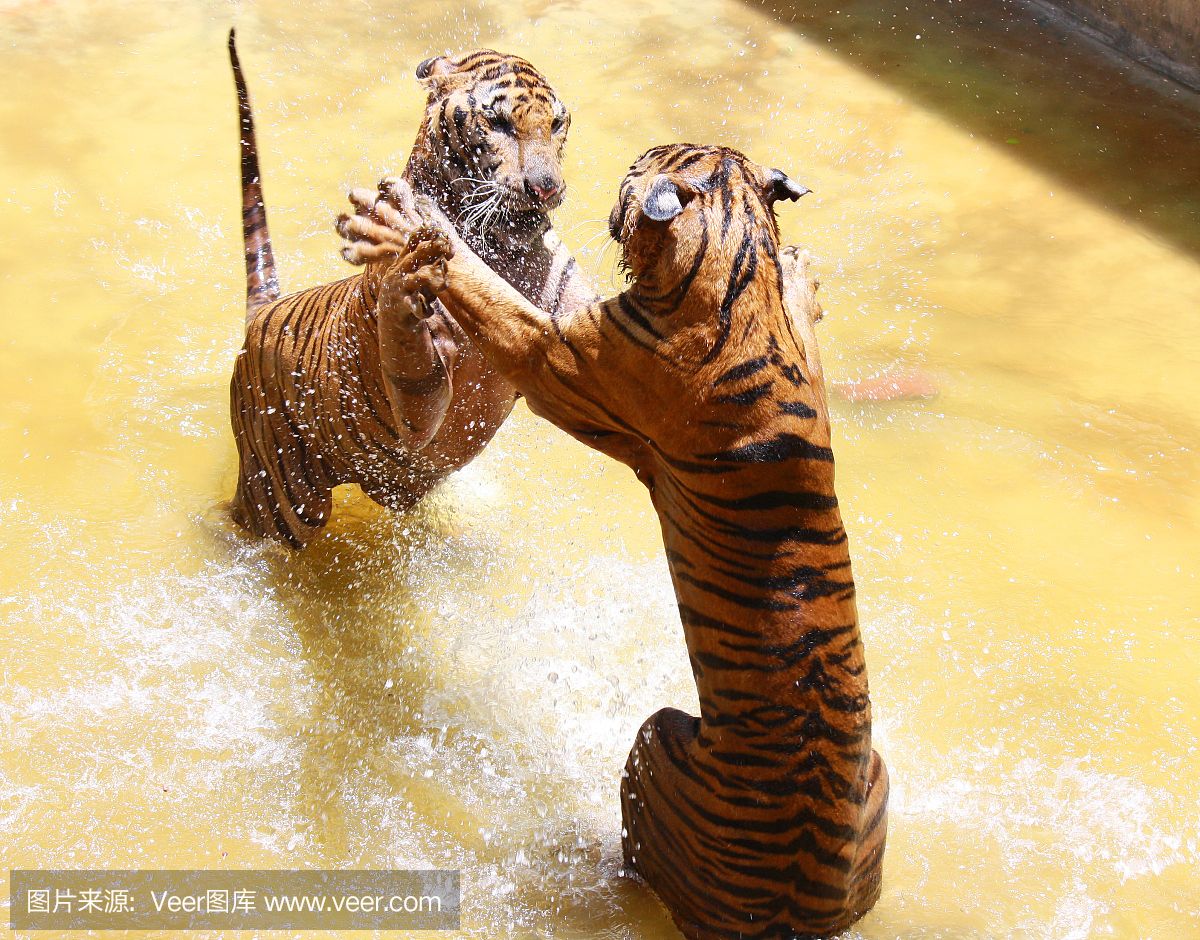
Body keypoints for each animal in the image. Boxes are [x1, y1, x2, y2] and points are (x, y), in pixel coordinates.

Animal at [224, 33, 590, 547]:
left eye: (555, 123)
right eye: (499, 122)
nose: (545, 188)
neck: (505, 249)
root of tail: (265, 310)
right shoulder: (417, 407)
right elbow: (413, 355)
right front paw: (406, 257)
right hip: (280, 498)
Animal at [343, 143, 888, 936]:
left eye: (636, 170)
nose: (600, 192)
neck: (735, 263)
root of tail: (793, 910)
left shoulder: (555, 359)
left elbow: (487, 294)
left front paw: (408, 227)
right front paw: (803, 274)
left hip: (654, 742)